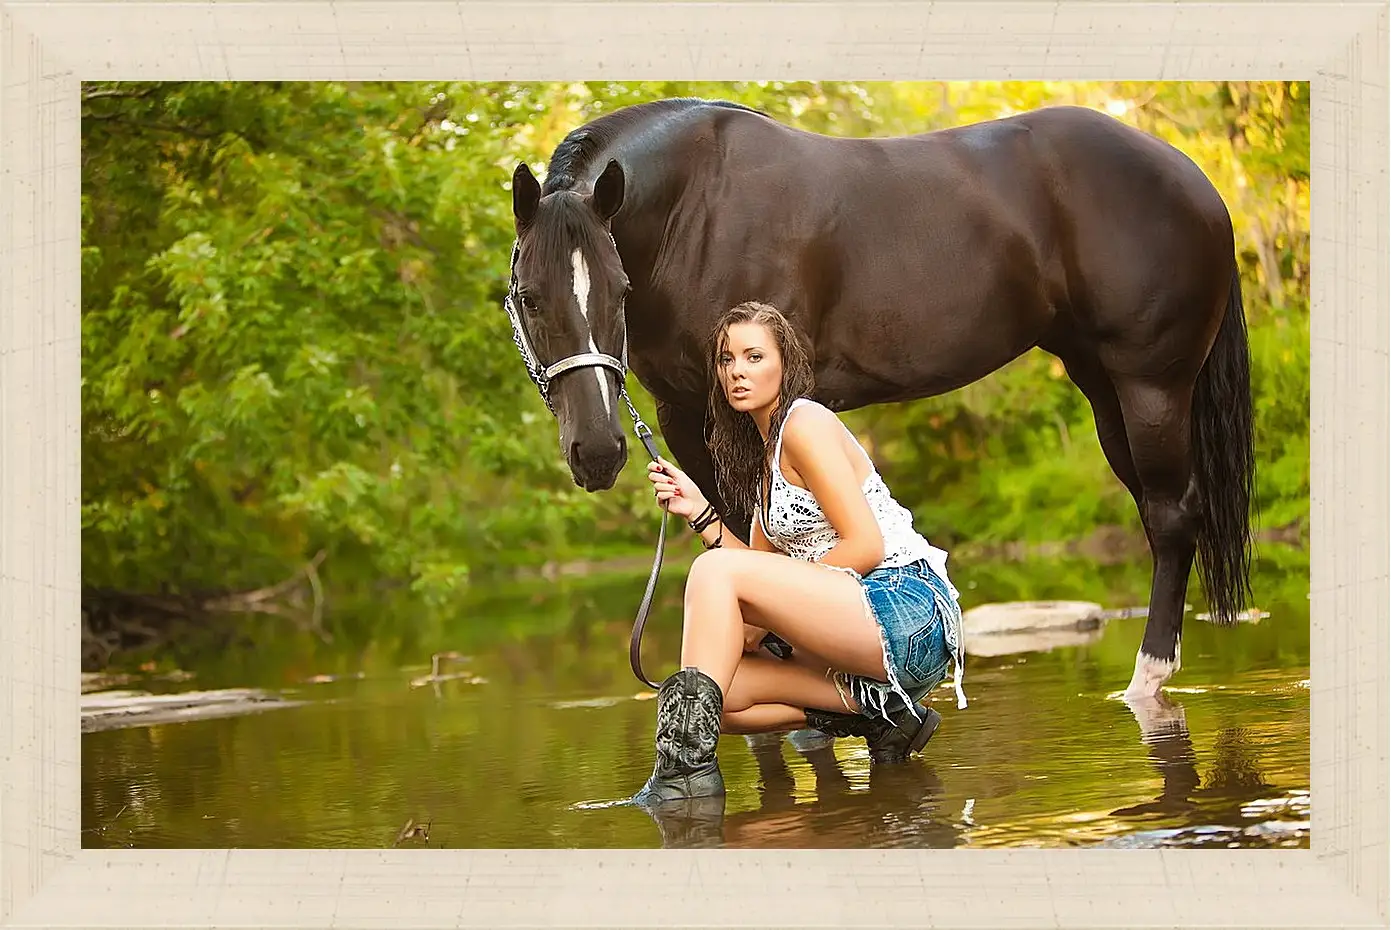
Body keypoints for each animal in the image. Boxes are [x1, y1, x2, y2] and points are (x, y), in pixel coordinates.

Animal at [506, 100, 1257, 695]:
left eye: (619, 291)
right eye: (529, 296)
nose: (598, 451)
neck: (697, 210)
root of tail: (1196, 181)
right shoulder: (689, 417)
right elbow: (736, 548)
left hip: (1151, 384)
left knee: (1171, 516)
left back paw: (1147, 681)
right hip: (1102, 385)